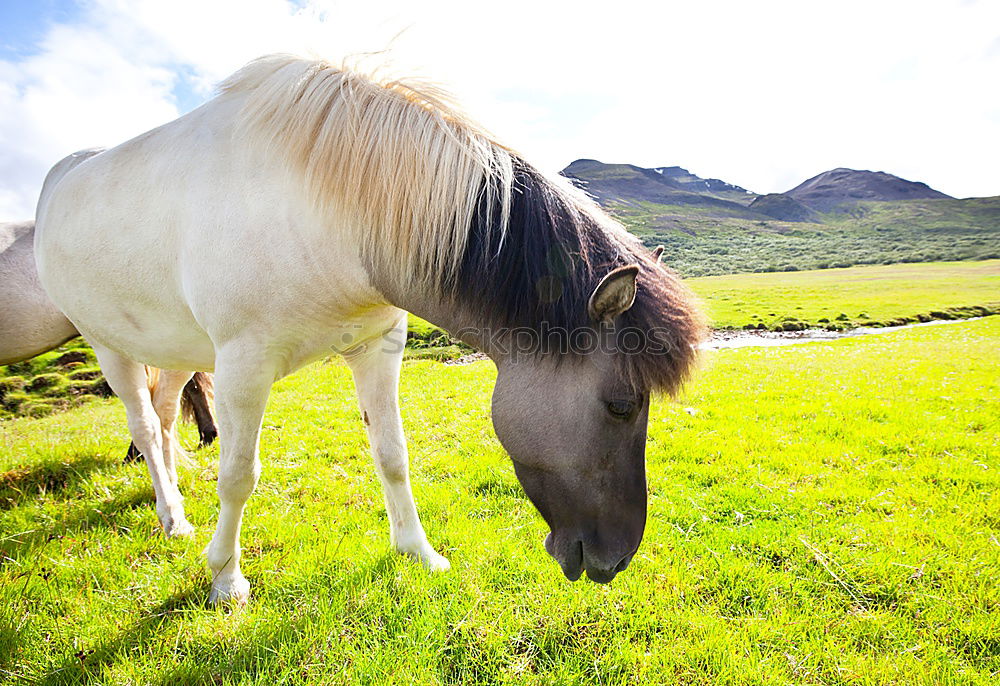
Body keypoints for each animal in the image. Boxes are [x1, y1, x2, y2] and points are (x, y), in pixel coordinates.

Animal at [35, 56, 708, 604]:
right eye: (621, 405)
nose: (617, 559)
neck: (328, 210)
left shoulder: (376, 347)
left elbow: (393, 454)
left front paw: (418, 553)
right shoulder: (243, 365)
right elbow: (239, 476)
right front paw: (225, 577)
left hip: (175, 350)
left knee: (166, 415)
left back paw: (172, 503)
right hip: (110, 348)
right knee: (147, 428)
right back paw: (173, 517)